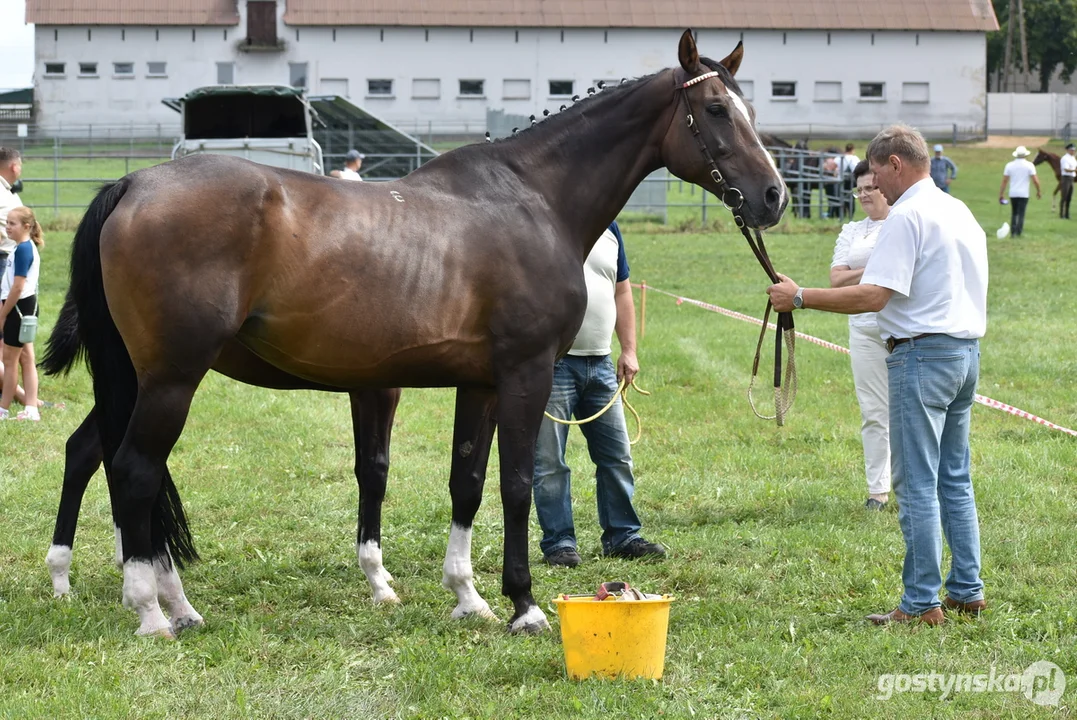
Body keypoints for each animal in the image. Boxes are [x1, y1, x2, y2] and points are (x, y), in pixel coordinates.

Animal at [44, 29, 784, 632]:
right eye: (715, 110)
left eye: (750, 108)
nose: (773, 196)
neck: (532, 197)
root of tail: (134, 184)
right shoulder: (526, 373)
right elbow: (517, 483)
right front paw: (524, 605)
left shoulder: (480, 384)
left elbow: (467, 482)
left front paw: (467, 596)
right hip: (171, 378)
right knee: (134, 470)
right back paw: (153, 609)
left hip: (135, 379)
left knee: (101, 458)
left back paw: (139, 595)